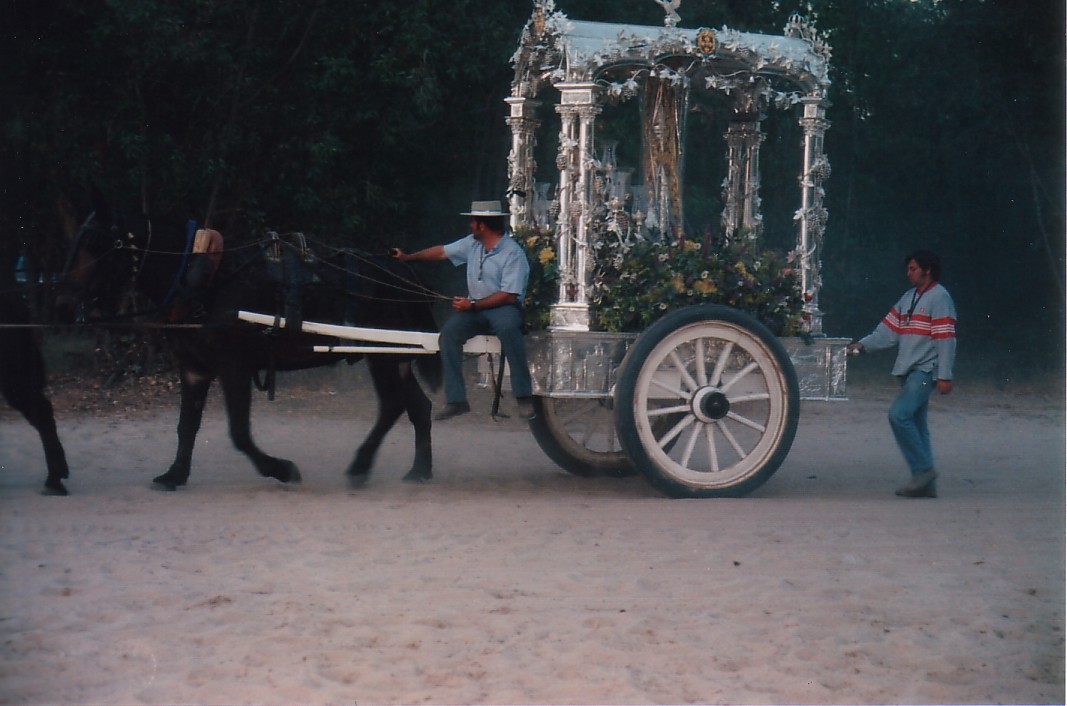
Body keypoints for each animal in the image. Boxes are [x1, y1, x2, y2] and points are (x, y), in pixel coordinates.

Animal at [57, 195, 441, 492]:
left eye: (96, 243)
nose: (62, 297)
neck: (206, 277)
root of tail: (401, 271)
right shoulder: (194, 367)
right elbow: (186, 426)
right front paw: (174, 474)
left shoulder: (234, 367)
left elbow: (239, 433)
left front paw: (282, 469)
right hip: (397, 354)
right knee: (418, 406)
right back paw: (419, 471)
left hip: (381, 355)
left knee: (392, 405)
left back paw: (361, 466)